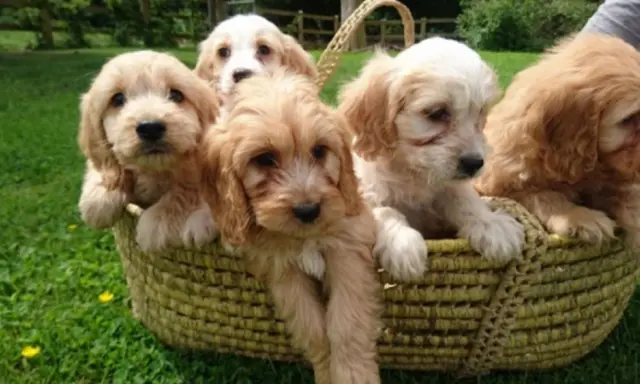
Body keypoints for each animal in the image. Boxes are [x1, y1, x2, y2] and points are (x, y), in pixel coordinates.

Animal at [78, 49, 220, 252]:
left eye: (176, 95)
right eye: (117, 99)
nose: (150, 128)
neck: (154, 170)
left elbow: (183, 192)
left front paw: (155, 222)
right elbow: (103, 166)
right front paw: (100, 197)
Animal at [200, 70, 380, 384]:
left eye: (319, 151)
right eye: (264, 159)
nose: (308, 210)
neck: (303, 238)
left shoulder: (348, 250)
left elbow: (346, 323)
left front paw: (354, 375)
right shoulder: (282, 269)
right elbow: (312, 328)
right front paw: (325, 372)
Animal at [338, 36, 524, 282]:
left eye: (480, 114)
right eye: (436, 113)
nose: (475, 164)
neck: (414, 172)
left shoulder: (450, 185)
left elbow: (465, 199)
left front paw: (491, 224)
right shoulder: (366, 193)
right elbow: (386, 211)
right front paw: (403, 245)